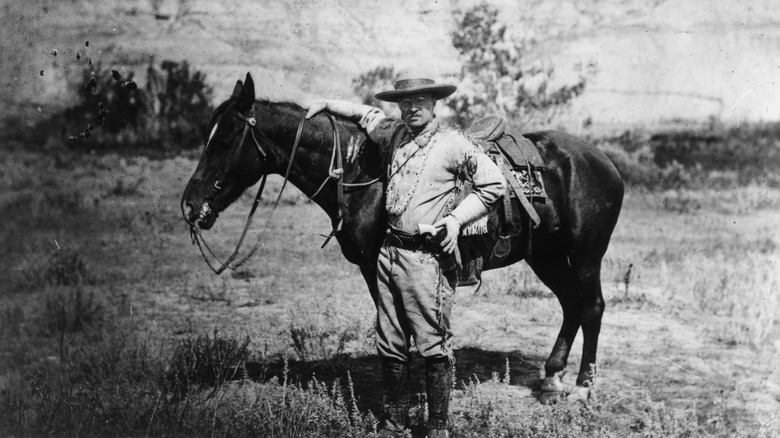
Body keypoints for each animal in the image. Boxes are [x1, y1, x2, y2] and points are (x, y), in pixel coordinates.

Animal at [181, 73, 620, 402]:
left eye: (225, 140)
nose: (190, 205)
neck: (360, 172)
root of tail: (604, 161)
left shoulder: (380, 266)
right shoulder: (375, 269)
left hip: (585, 255)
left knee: (591, 307)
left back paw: (582, 387)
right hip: (546, 255)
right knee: (571, 304)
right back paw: (552, 379)